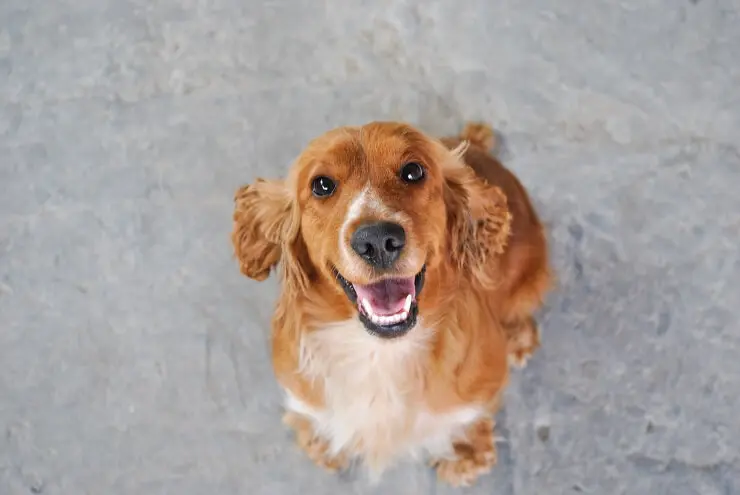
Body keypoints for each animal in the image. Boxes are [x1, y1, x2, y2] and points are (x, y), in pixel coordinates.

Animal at [231, 121, 548, 488]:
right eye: (321, 185)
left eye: (413, 171)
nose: (378, 241)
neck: (379, 354)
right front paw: (320, 443)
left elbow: (471, 419)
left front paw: (466, 455)